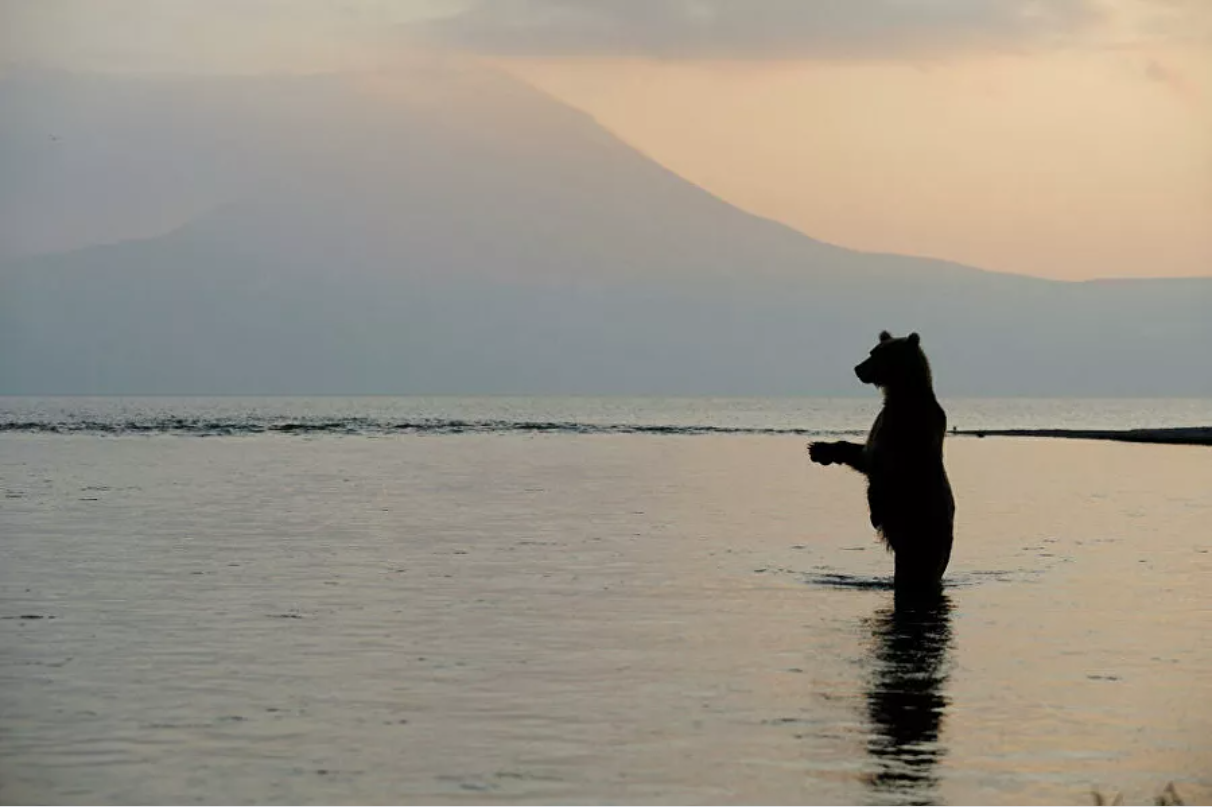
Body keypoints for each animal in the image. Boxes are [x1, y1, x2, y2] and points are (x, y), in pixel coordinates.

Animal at [804, 327, 955, 591]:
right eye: (871, 351)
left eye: (878, 355)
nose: (857, 368)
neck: (902, 395)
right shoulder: (881, 429)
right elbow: (864, 455)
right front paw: (819, 450)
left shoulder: (908, 435)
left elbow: (887, 470)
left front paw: (874, 512)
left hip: (923, 531)